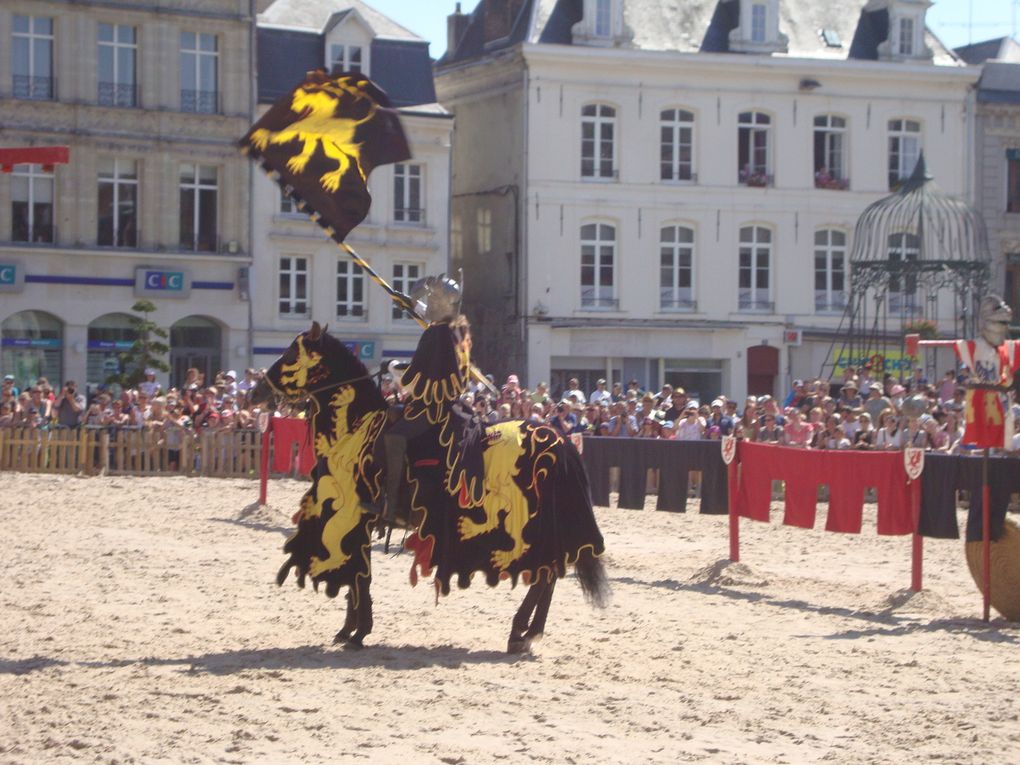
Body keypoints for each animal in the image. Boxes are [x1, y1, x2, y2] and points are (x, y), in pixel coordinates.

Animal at [251, 322, 607, 652]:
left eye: (290, 354)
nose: (256, 393)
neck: (354, 428)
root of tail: (559, 439)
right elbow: (357, 576)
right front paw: (348, 630)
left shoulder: (356, 516)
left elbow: (360, 577)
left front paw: (359, 631)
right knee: (549, 575)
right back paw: (528, 633)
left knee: (544, 574)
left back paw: (520, 631)